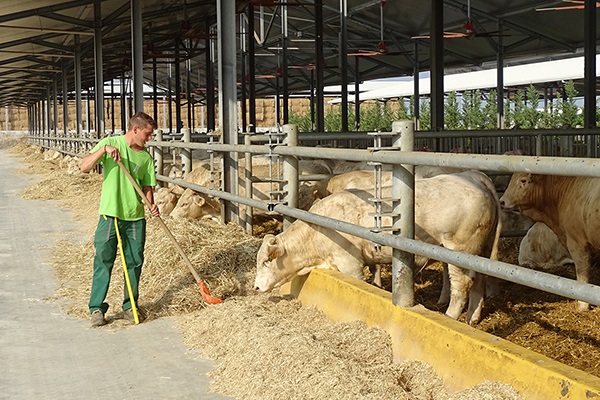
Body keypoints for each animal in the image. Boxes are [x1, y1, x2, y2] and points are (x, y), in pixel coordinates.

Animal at [255, 171, 504, 324]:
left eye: (267, 260)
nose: (256, 287)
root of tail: (474, 177)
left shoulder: (350, 263)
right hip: (479, 250)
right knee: (479, 280)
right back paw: (473, 317)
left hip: (459, 249)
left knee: (462, 285)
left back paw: (451, 316)